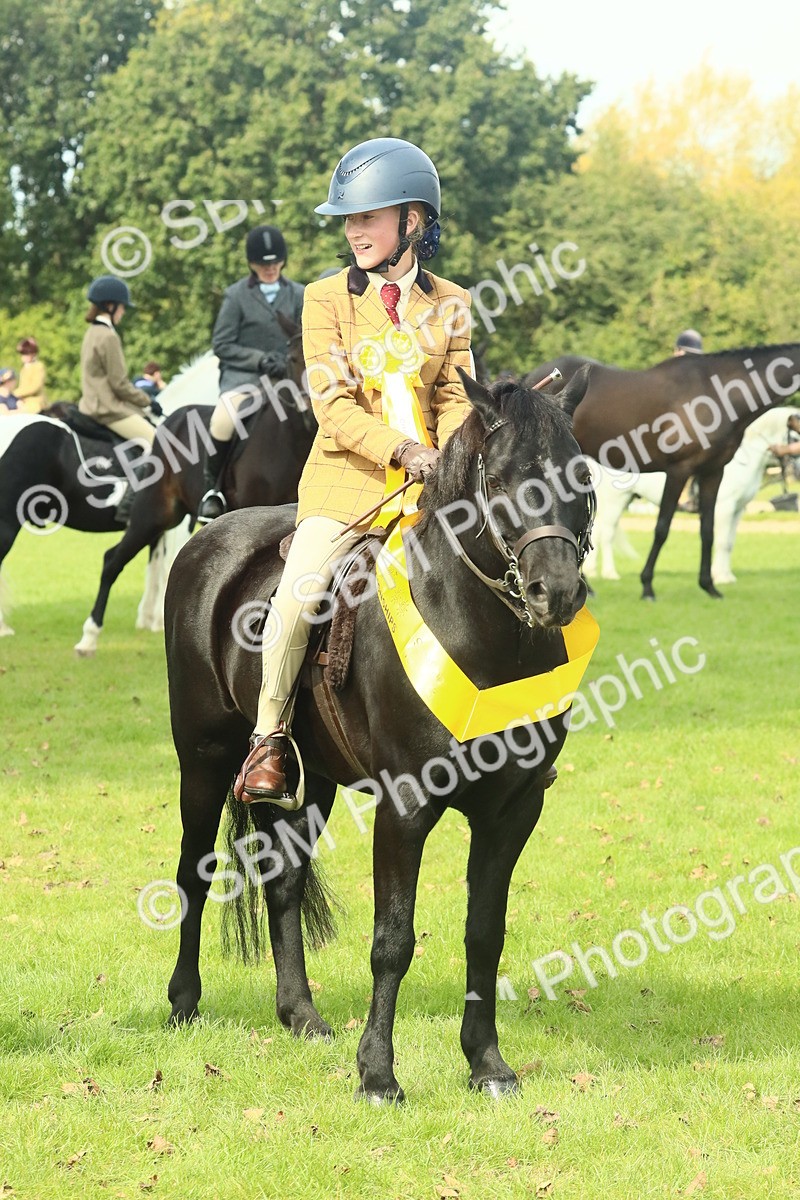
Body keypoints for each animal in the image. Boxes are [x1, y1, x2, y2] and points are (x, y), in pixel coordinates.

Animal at [71, 315, 314, 655]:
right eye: (292, 358)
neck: (291, 440)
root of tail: (172, 418)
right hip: (153, 514)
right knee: (113, 560)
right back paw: (89, 638)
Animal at [164, 368, 597, 1102]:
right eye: (504, 476)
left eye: (582, 474)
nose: (556, 593)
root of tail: (208, 539)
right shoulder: (405, 805)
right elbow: (392, 939)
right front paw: (377, 1075)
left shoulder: (513, 810)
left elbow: (485, 934)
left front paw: (487, 1065)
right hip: (204, 758)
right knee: (195, 871)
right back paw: (183, 1003)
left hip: (309, 781)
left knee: (284, 880)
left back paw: (301, 1016)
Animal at [584, 407, 800, 584]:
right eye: (796, 437)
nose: (796, 469)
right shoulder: (725, 508)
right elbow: (721, 541)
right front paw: (720, 577)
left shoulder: (738, 510)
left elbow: (729, 543)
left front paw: (727, 576)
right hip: (616, 501)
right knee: (607, 535)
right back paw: (610, 573)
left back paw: (593, 571)